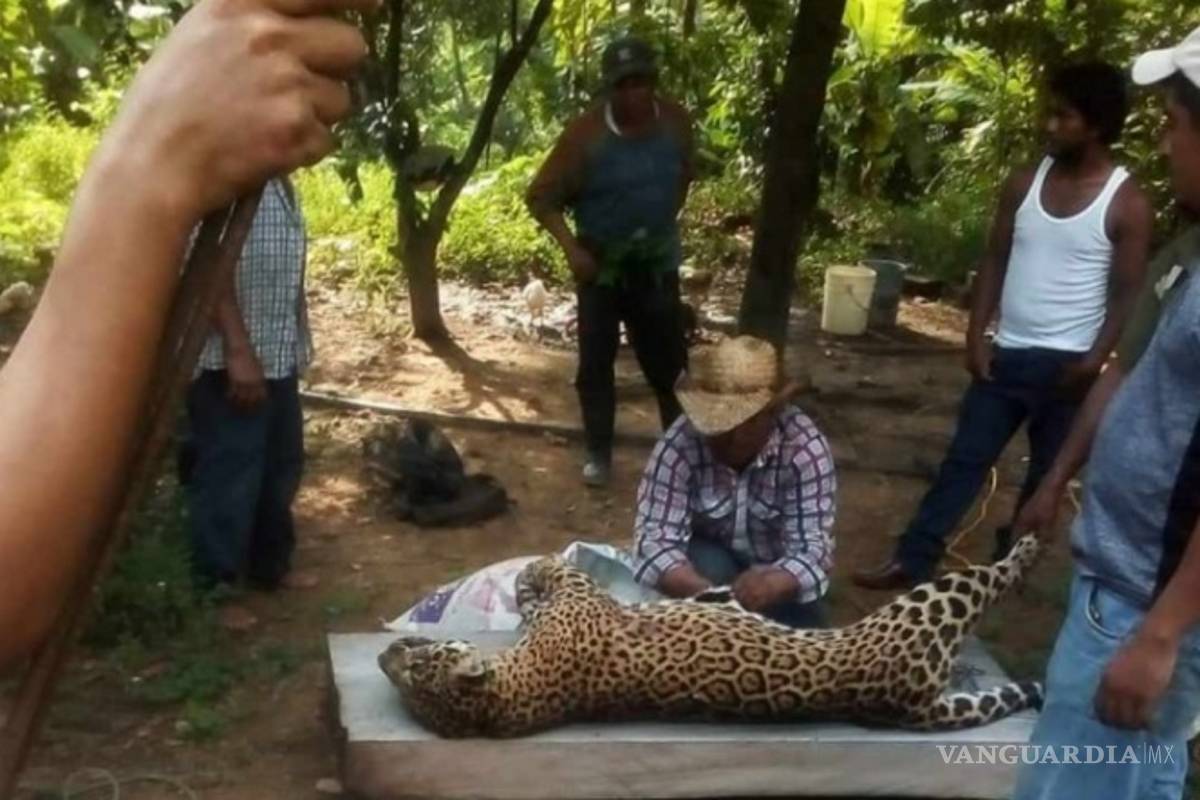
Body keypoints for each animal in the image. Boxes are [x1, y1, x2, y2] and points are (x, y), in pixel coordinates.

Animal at [378, 533, 1044, 738]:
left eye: (415, 661)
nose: (387, 652)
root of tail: (902, 705)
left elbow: (533, 584)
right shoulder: (578, 593)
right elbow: (548, 569)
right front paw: (531, 575)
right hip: (932, 602)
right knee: (997, 574)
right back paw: (1031, 542)